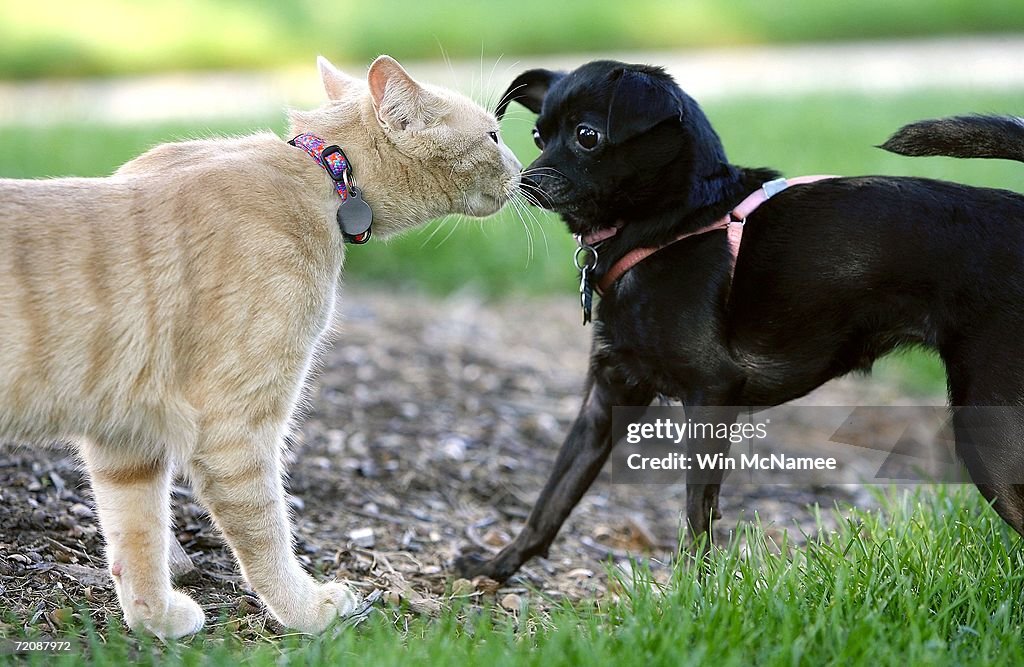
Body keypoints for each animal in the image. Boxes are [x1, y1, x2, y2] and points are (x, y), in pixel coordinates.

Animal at [0, 54, 524, 639]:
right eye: (493, 135)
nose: (522, 166)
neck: (324, 174)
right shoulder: (235, 427)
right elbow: (266, 531)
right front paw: (306, 610)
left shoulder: (126, 433)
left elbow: (137, 533)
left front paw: (155, 619)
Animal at [460, 62, 1024, 586]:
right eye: (538, 136)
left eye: (587, 136)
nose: (525, 180)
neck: (671, 225)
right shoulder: (606, 400)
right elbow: (554, 497)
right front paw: (497, 567)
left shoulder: (711, 393)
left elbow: (695, 509)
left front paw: (692, 591)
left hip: (987, 428)